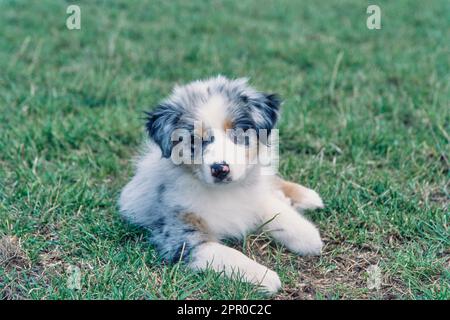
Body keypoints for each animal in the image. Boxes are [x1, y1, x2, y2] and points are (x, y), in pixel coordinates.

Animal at [118, 76, 324, 294]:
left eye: (238, 132)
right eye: (193, 139)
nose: (220, 169)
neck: (224, 191)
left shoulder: (253, 195)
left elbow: (276, 211)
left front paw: (307, 236)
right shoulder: (182, 237)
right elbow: (229, 254)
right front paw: (264, 276)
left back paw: (307, 196)